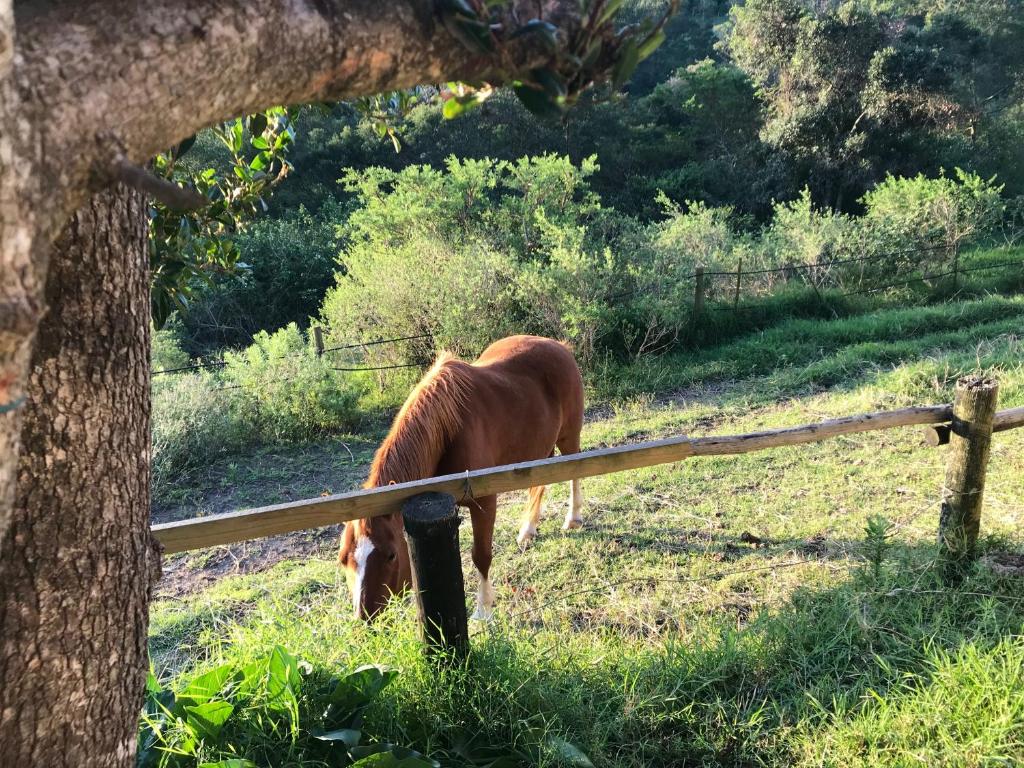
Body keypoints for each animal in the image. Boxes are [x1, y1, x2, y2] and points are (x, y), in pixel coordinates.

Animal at [339, 335, 585, 618]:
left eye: (390, 555)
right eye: (344, 559)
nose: (364, 616)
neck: (447, 429)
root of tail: (559, 346)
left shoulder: (484, 503)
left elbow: (481, 556)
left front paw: (483, 611)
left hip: (568, 438)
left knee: (574, 475)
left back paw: (573, 518)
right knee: (539, 485)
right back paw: (528, 529)